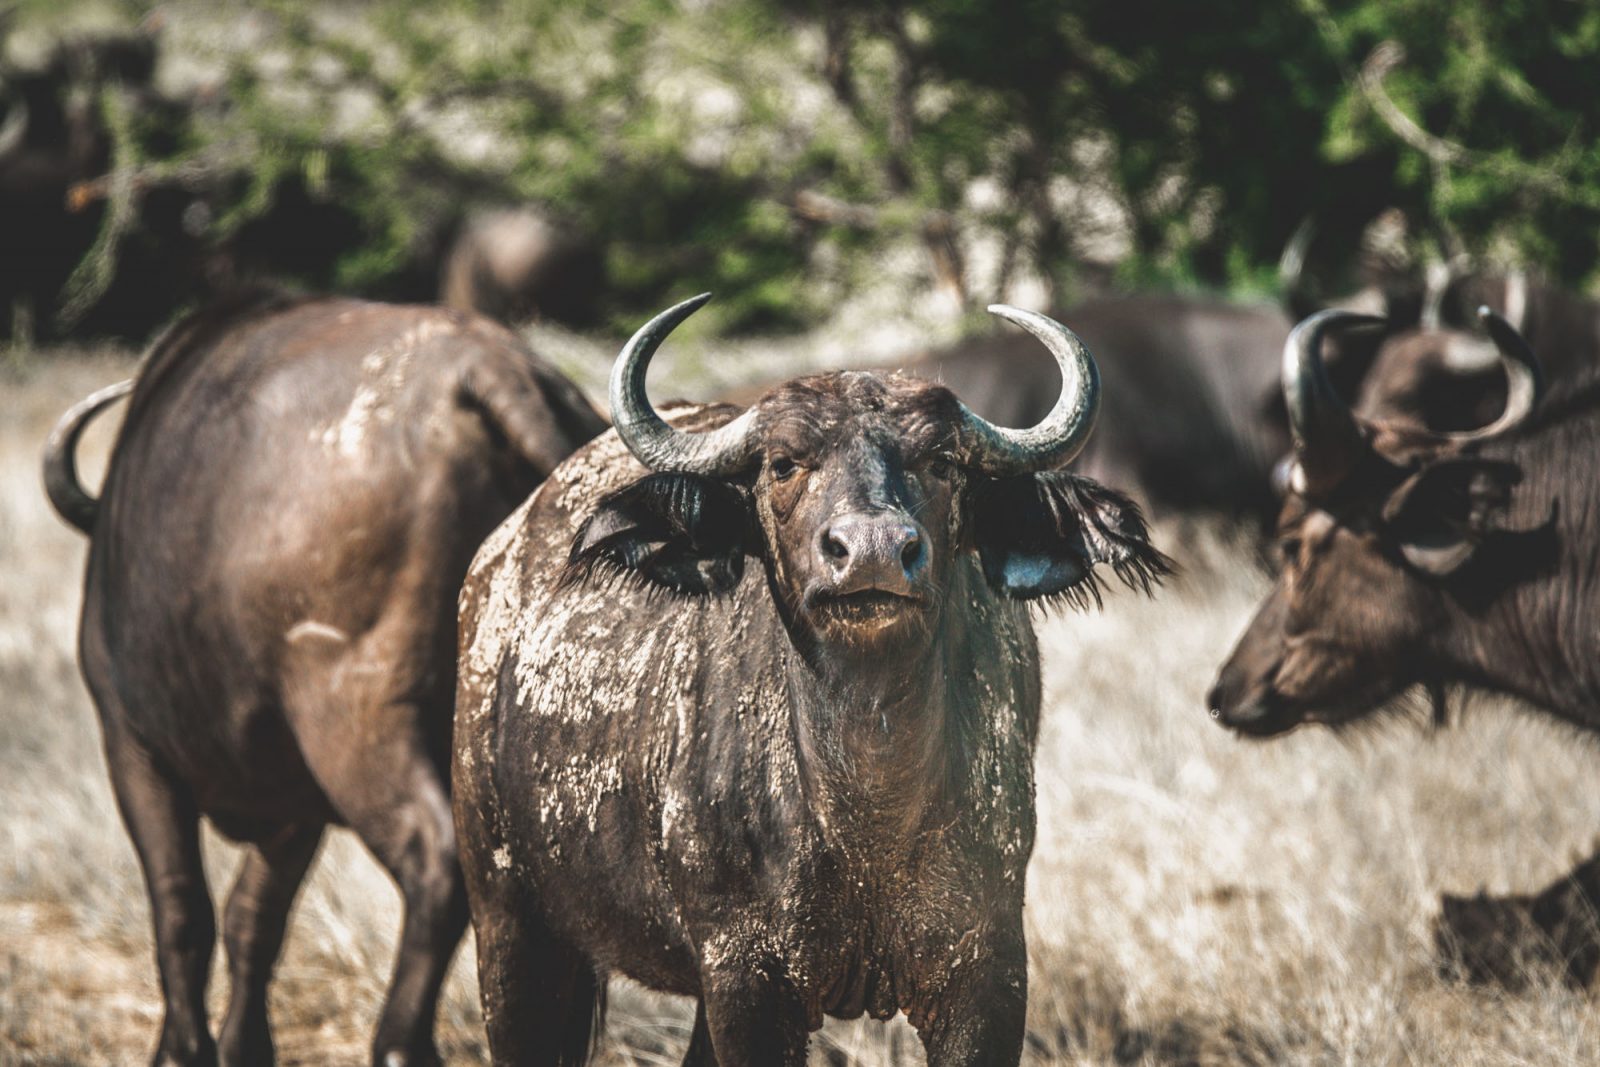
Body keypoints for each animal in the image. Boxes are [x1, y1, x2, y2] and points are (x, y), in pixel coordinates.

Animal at [45, 292, 604, 1067]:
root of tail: (486, 371)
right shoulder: (294, 801)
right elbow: (254, 918)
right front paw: (244, 1044)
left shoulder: (134, 748)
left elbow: (182, 910)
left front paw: (183, 1047)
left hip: (353, 719)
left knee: (435, 859)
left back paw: (400, 1042)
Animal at [457, 294, 1171, 1067]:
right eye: (783, 463)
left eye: (942, 459)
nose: (873, 552)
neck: (866, 820)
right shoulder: (747, 979)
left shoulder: (987, 972)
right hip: (508, 923)